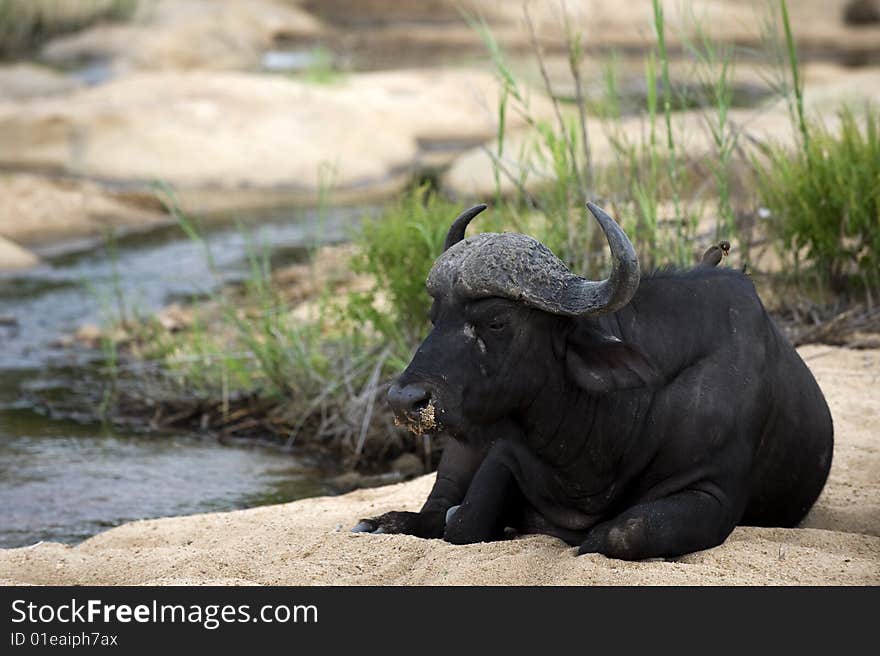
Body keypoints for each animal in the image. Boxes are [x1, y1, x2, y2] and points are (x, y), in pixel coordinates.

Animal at [352, 204, 832, 560]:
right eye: (436, 317)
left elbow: (620, 533)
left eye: (496, 320)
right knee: (436, 507)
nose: (404, 400)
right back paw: (380, 522)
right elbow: (463, 521)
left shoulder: (714, 492)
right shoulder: (503, 455)